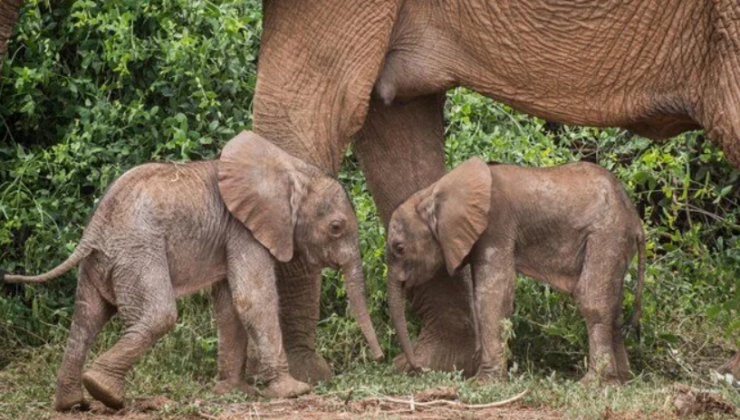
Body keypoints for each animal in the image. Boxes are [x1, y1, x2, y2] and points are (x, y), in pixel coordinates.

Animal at [5, 130, 384, 410]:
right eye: (336, 228)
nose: (380, 357)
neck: (289, 170)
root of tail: (95, 226)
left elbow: (230, 306)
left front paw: (235, 392)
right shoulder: (243, 230)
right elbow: (253, 299)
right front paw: (294, 391)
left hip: (103, 259)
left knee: (86, 317)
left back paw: (73, 403)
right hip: (138, 251)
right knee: (158, 314)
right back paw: (105, 392)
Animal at [384, 157, 644, 384]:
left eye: (399, 248)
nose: (417, 368)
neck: (434, 192)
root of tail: (636, 221)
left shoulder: (495, 226)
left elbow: (492, 296)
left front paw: (482, 383)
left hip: (607, 234)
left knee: (593, 301)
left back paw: (593, 383)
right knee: (614, 307)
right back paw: (622, 380)